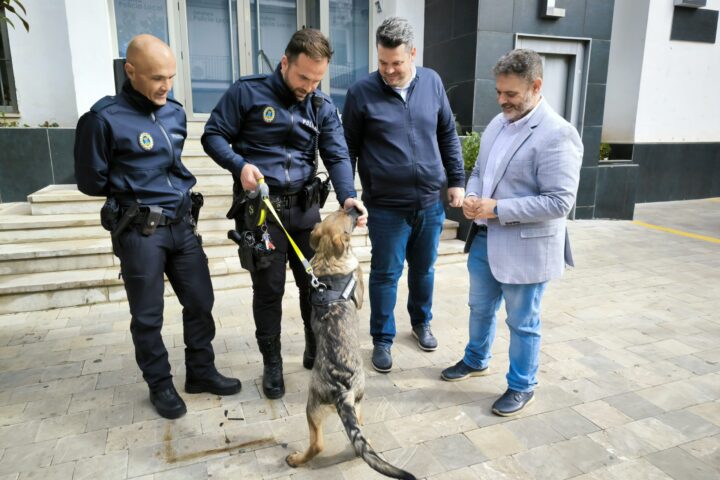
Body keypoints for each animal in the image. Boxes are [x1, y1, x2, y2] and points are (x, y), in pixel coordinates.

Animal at [284, 210, 414, 480]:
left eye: (337, 212)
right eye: (345, 217)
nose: (356, 209)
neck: (328, 258)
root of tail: (341, 387)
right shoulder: (360, 285)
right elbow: (360, 276)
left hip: (341, 404)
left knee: (348, 438)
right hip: (319, 406)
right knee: (320, 444)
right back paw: (297, 459)